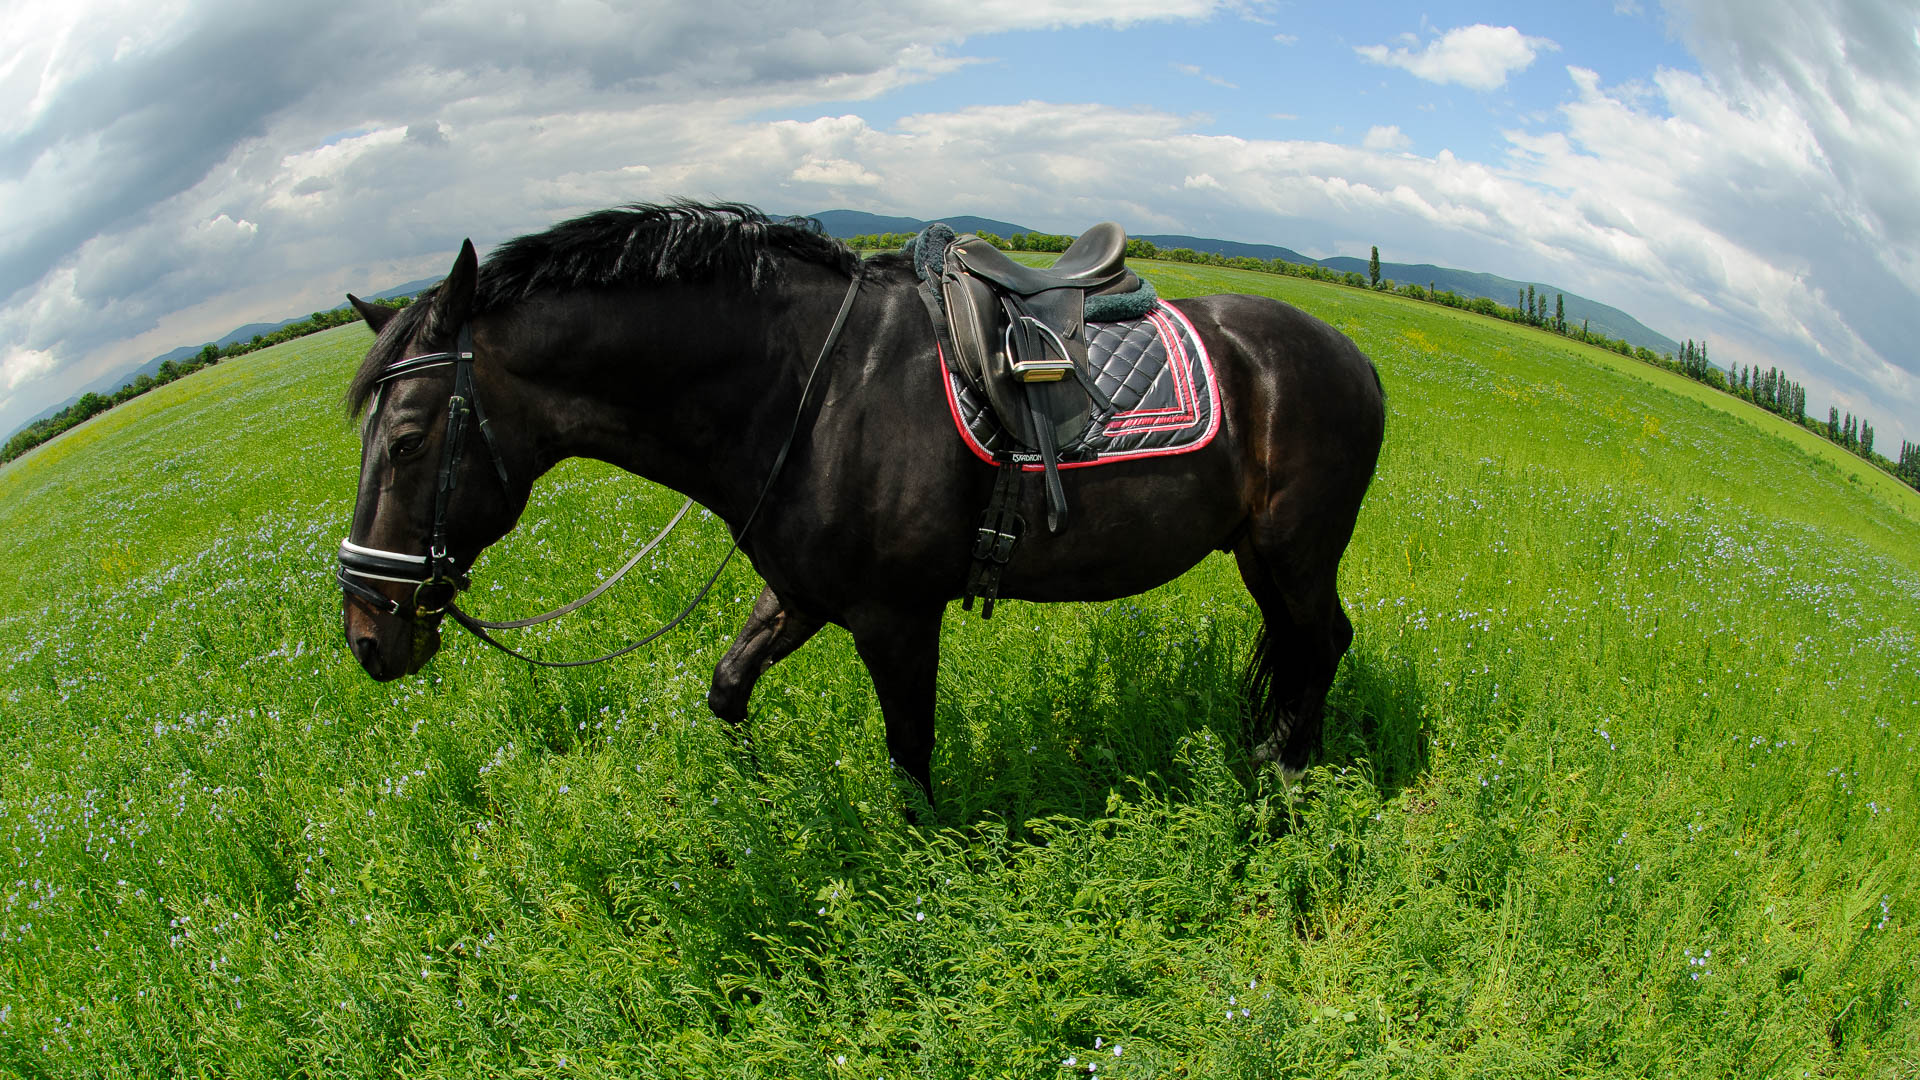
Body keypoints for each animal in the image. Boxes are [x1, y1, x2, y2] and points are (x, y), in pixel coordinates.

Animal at [341, 203, 1382, 799]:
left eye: (405, 440)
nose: (366, 633)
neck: (808, 388)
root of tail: (1355, 356)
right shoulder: (802, 594)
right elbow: (727, 689)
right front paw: (759, 797)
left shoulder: (896, 618)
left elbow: (910, 757)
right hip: (1256, 556)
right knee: (1297, 650)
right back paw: (1269, 752)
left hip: (1295, 554)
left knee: (1324, 642)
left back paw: (1290, 780)